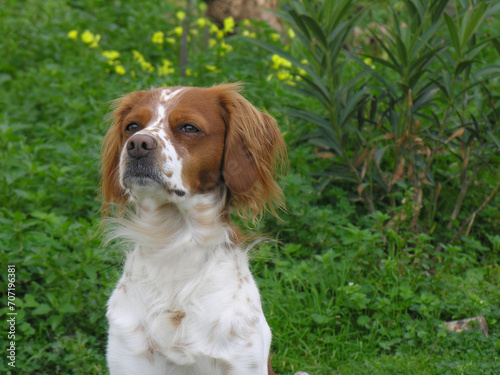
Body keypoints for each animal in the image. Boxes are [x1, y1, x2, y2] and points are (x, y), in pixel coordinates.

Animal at [99, 83, 286, 374]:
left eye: (189, 128)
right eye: (132, 126)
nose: (138, 144)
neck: (173, 243)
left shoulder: (241, 359)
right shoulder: (129, 357)